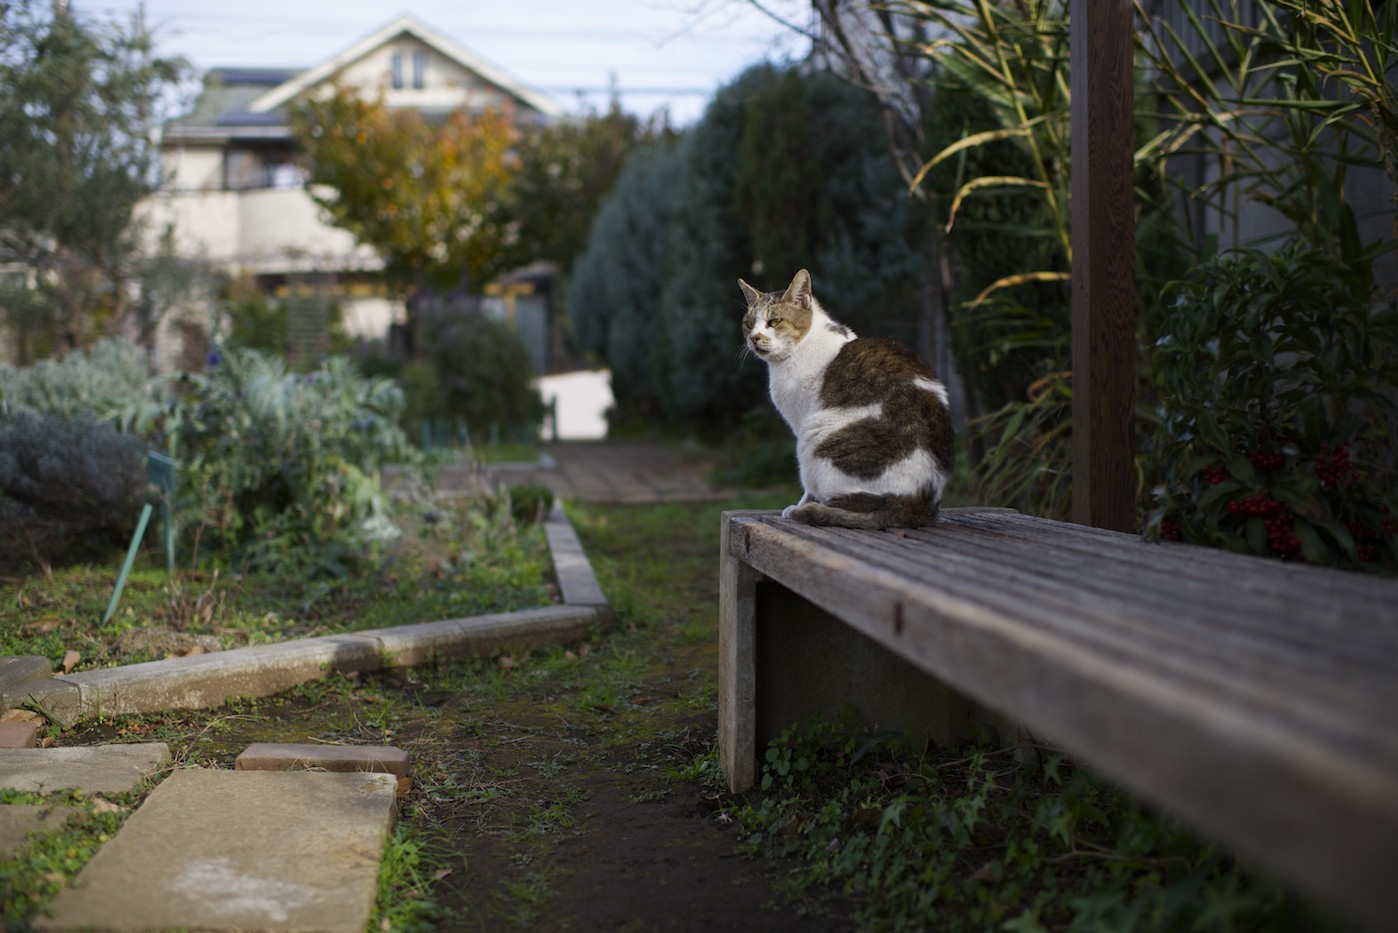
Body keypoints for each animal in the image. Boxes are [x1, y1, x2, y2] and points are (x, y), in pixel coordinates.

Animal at [738, 269, 956, 531]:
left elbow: (807, 489)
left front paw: (799, 506)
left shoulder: (801, 423)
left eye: (774, 322)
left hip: (814, 437)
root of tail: (915, 505)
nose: (754, 338)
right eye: (748, 324)